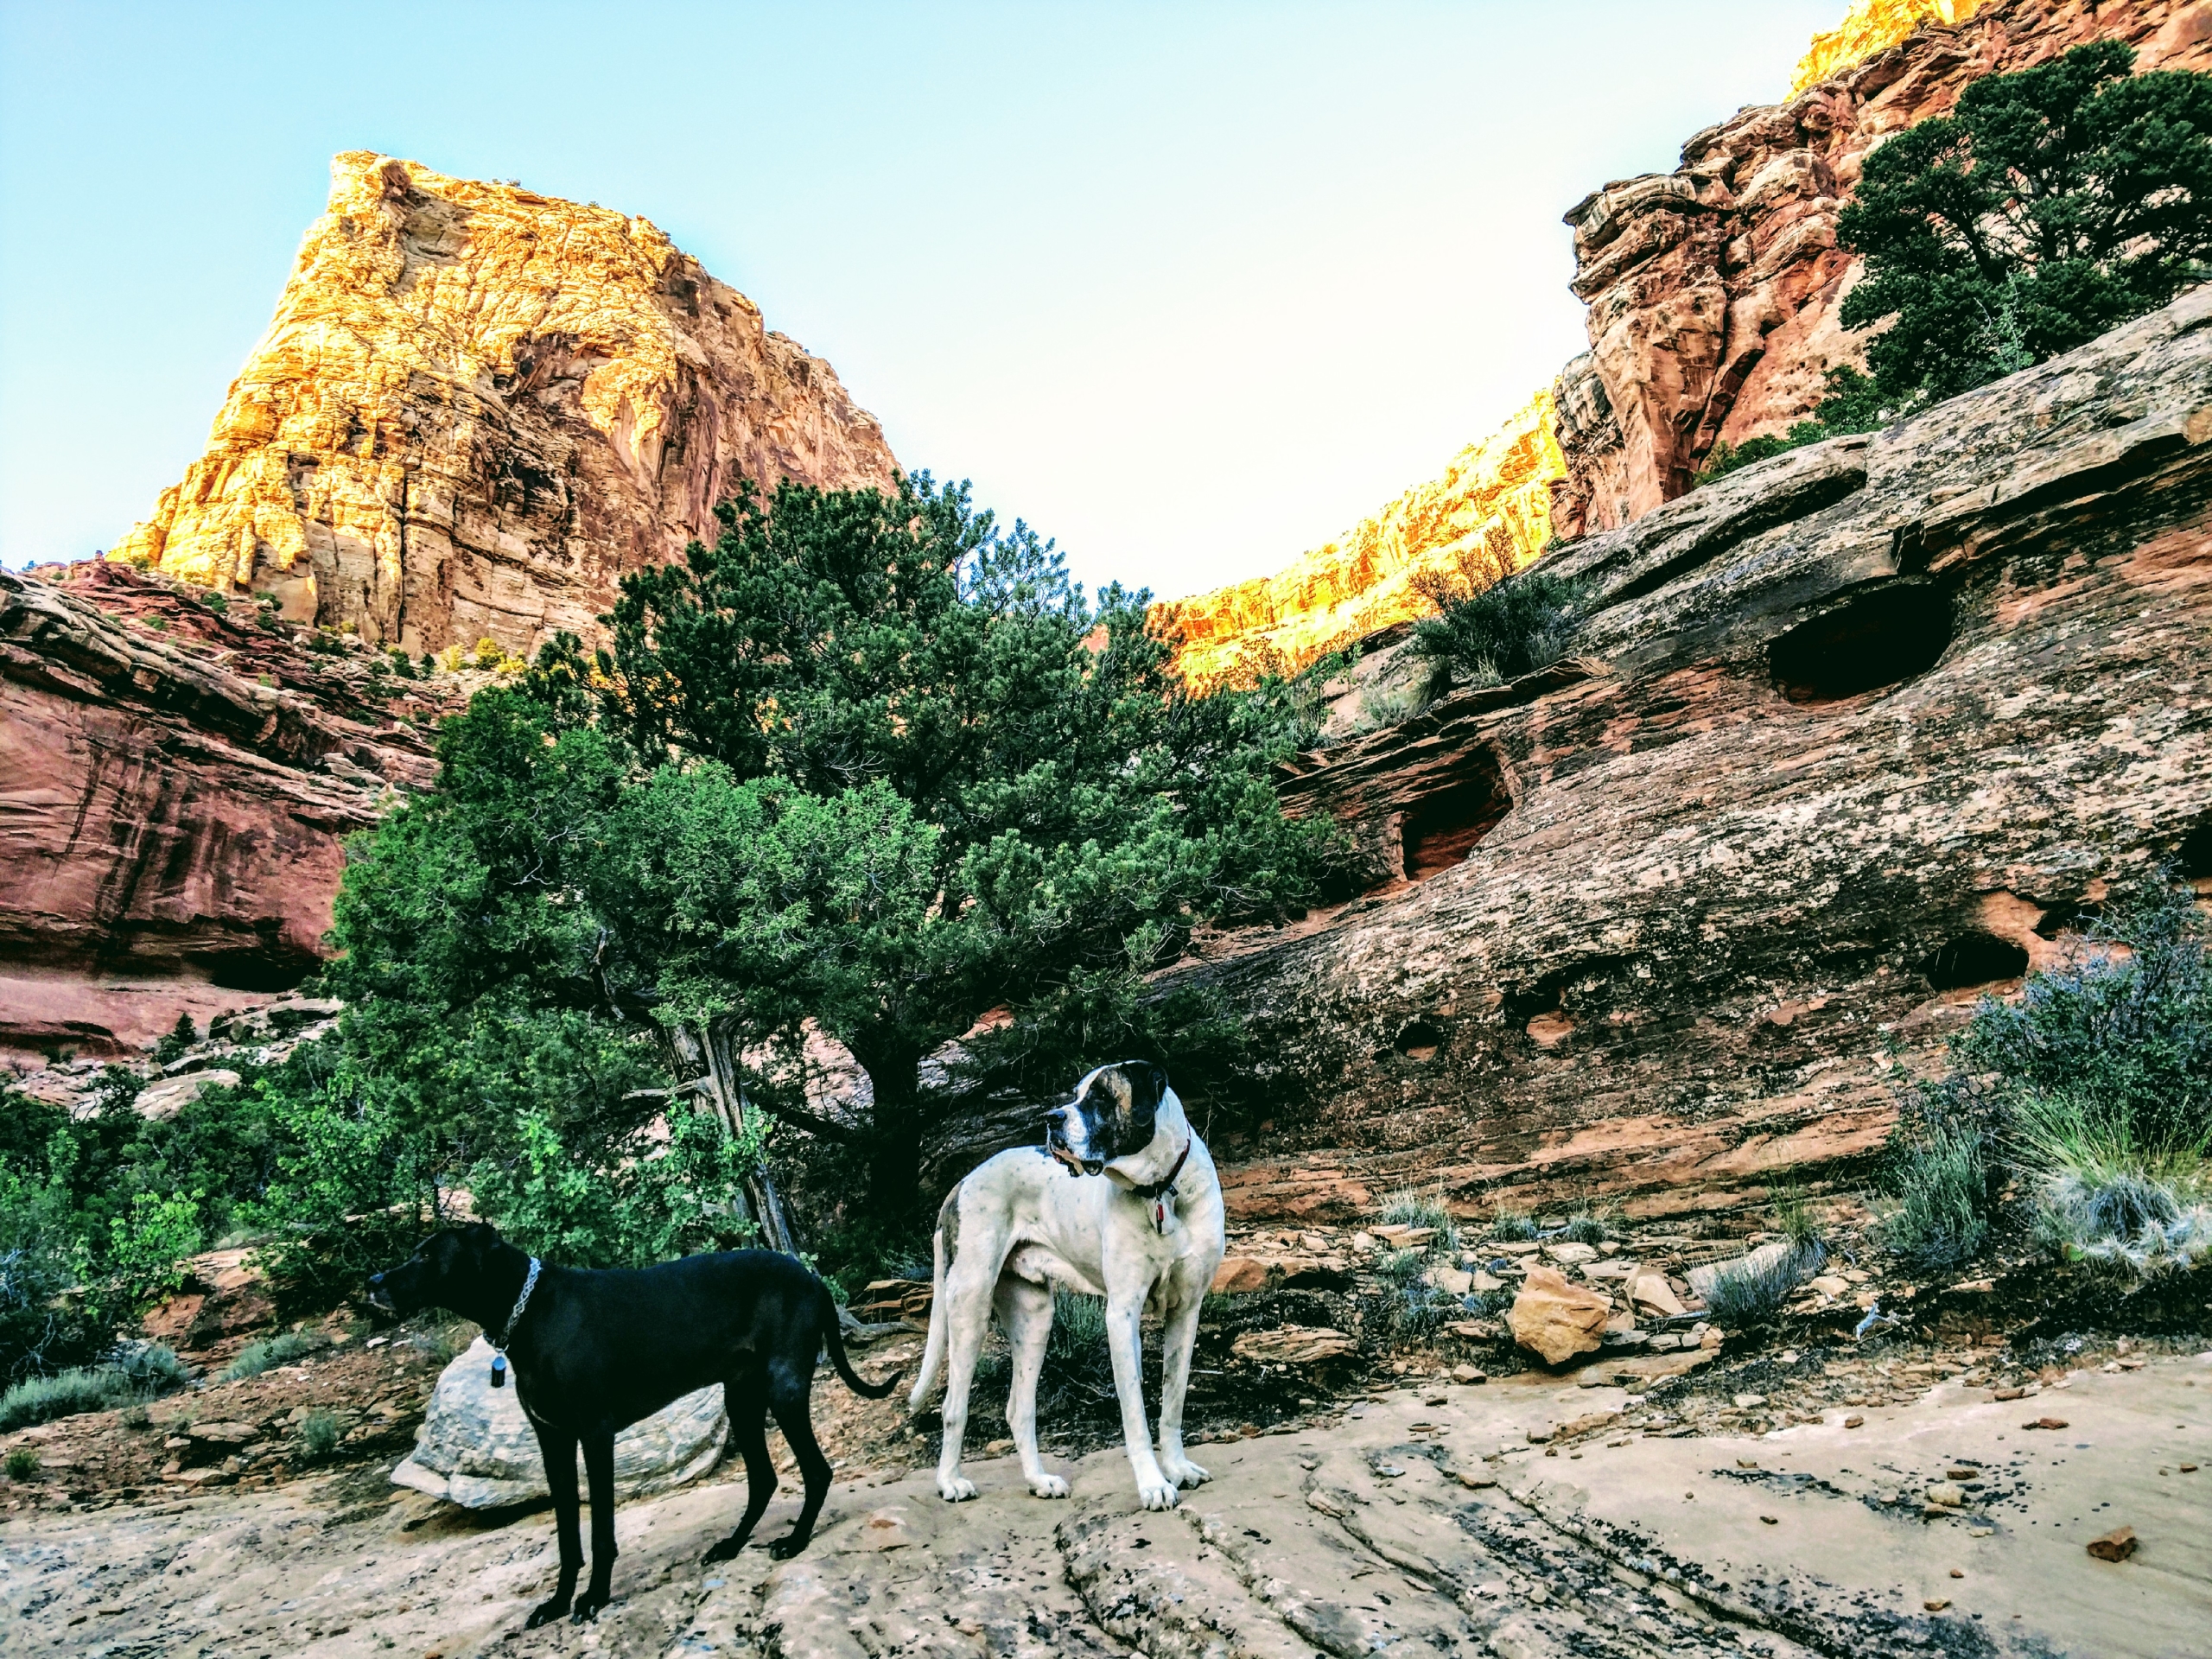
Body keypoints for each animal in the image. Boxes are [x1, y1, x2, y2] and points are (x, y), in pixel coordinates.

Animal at [372, 1230, 898, 1628]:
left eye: (427, 1255)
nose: (373, 1281)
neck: (533, 1312)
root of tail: (812, 1277)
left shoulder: (595, 1434)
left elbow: (600, 1533)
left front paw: (593, 1598)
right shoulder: (553, 1442)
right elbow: (567, 1538)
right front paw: (557, 1602)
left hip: (783, 1389)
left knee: (817, 1471)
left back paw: (795, 1541)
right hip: (742, 1399)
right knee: (765, 1480)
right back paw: (731, 1544)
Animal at [911, 1065, 1230, 1503]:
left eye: (1101, 1098)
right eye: (1076, 1094)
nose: (1052, 1117)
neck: (1160, 1190)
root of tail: (963, 1182)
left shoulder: (1186, 1312)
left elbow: (1173, 1400)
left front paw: (1178, 1468)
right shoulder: (1122, 1315)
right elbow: (1135, 1412)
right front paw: (1153, 1484)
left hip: (1034, 1318)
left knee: (1019, 1408)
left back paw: (1039, 1480)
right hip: (968, 1306)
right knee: (953, 1407)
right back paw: (950, 1482)